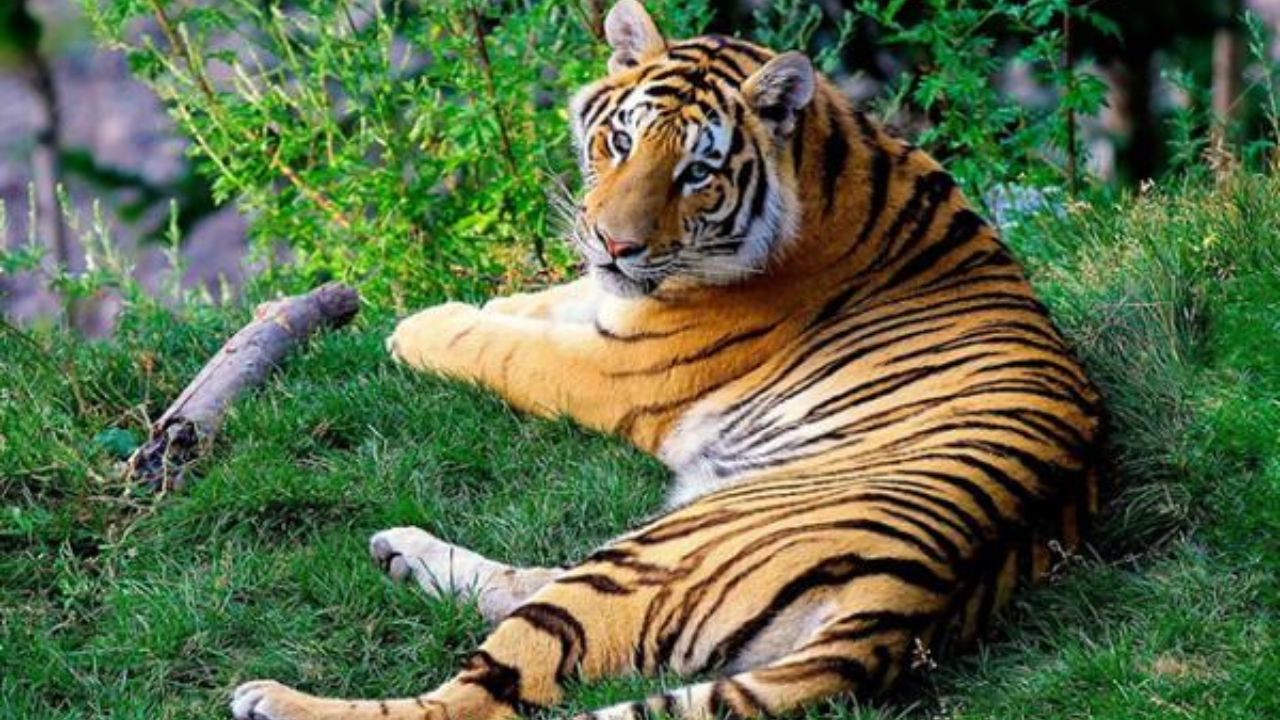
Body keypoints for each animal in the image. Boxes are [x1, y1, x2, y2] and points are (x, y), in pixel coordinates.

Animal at [230, 2, 1103, 719]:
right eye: (620, 142)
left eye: (697, 173)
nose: (616, 244)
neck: (828, 161)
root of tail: (906, 608)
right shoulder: (613, 305)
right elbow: (541, 304)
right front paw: (474, 304)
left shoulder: (615, 368)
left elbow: (505, 348)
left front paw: (420, 328)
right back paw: (402, 553)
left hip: (654, 555)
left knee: (480, 694)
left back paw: (272, 697)